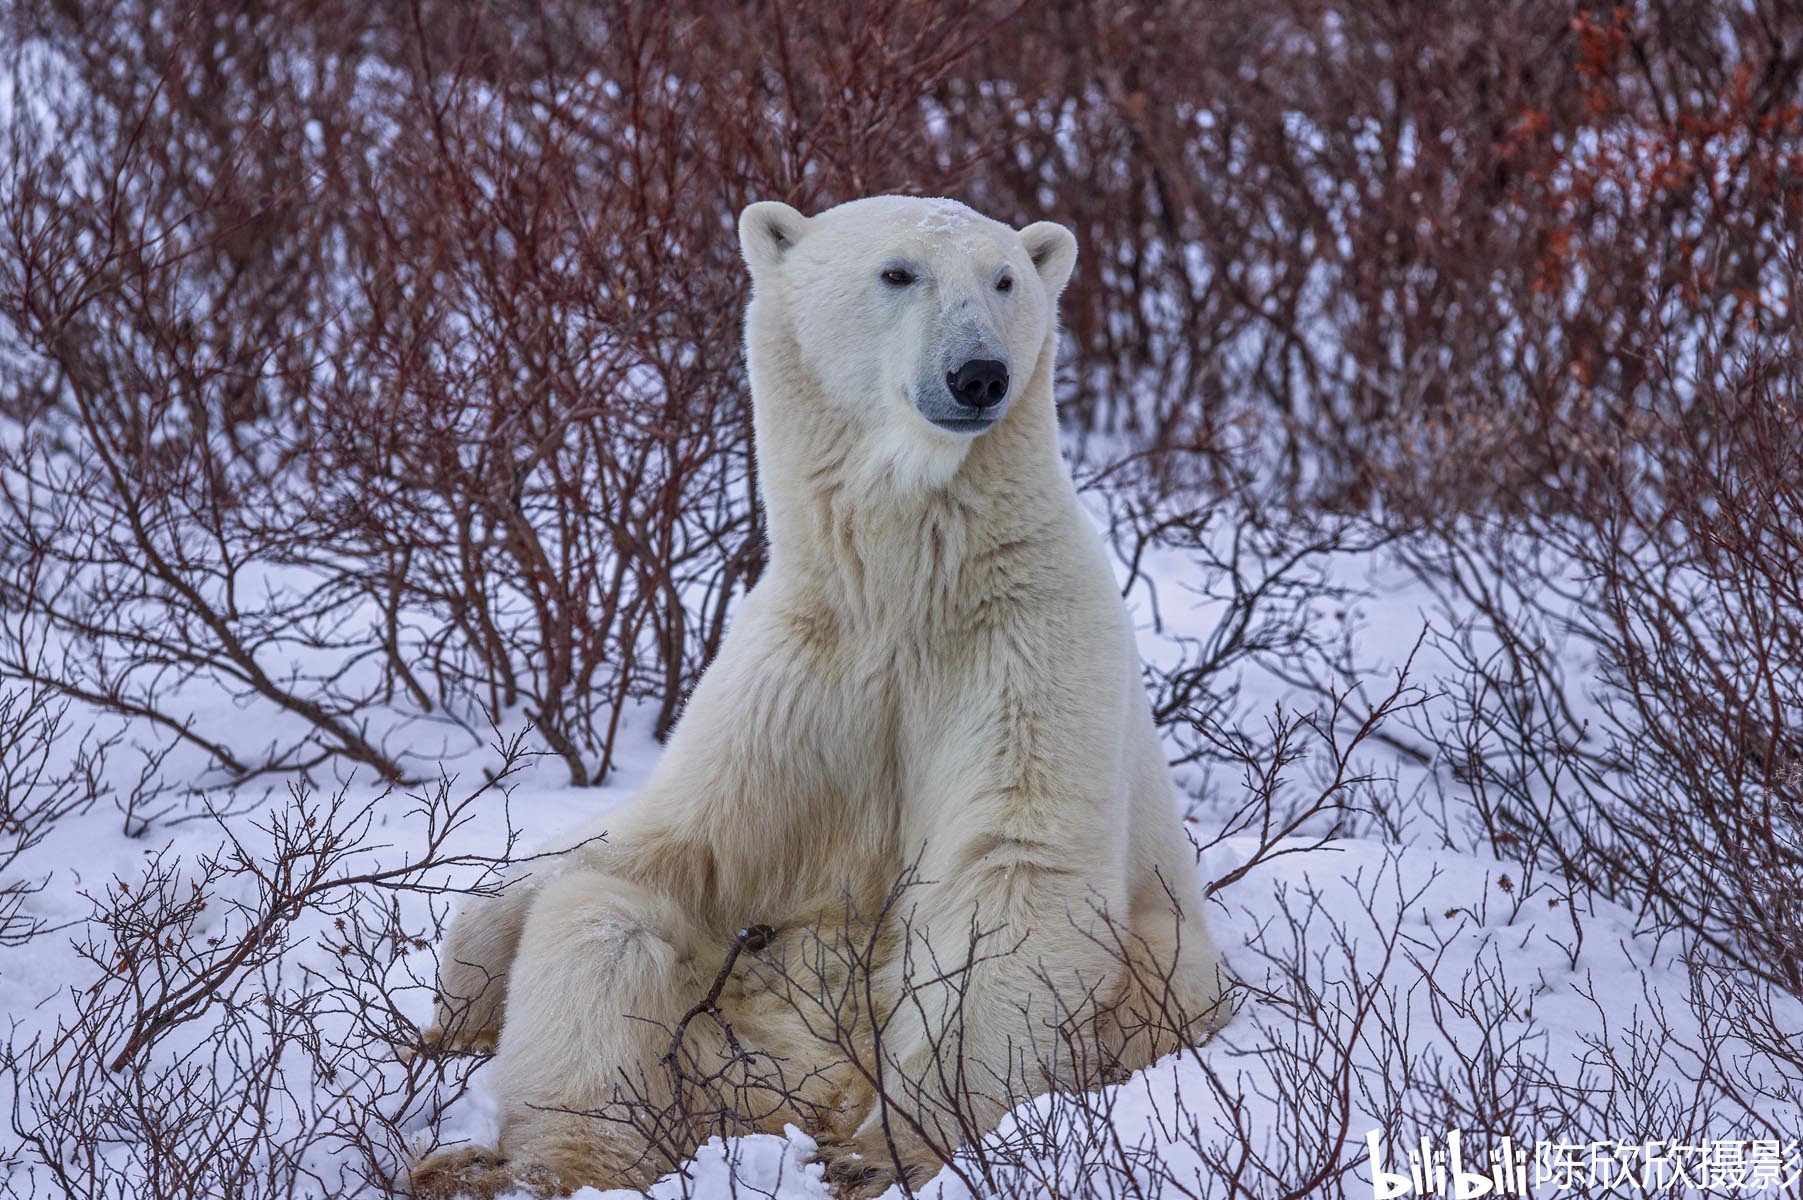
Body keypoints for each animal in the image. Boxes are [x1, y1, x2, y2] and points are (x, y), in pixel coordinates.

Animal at [412, 196, 1226, 1196]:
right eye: (898, 271)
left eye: (1004, 279)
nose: (979, 374)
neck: (905, 586)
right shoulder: (799, 672)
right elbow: (657, 860)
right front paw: (500, 1086)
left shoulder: (1026, 649)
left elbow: (1010, 878)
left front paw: (878, 1154)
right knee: (553, 917)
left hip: (1162, 977)